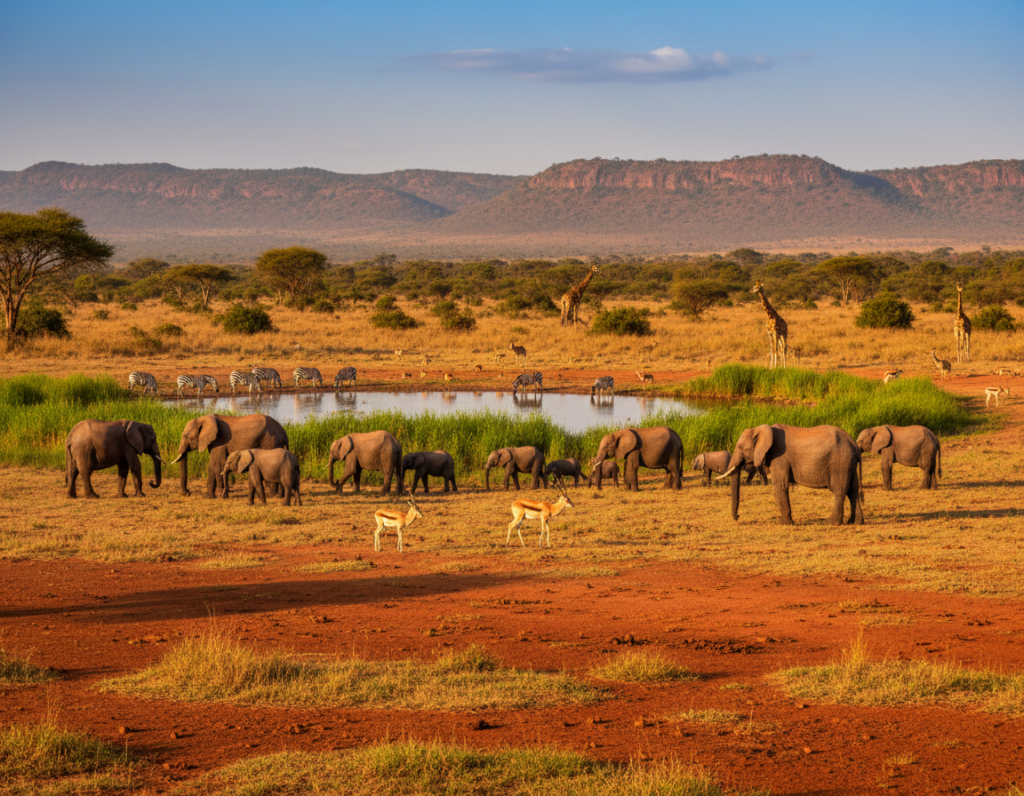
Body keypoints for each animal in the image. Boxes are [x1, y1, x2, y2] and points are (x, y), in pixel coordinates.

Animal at [721, 424, 863, 526]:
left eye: (740, 447)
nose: (738, 517)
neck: (759, 429)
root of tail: (855, 445)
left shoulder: (779, 456)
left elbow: (780, 485)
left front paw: (783, 523)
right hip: (848, 462)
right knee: (853, 491)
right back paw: (854, 522)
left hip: (840, 462)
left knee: (839, 490)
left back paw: (831, 522)